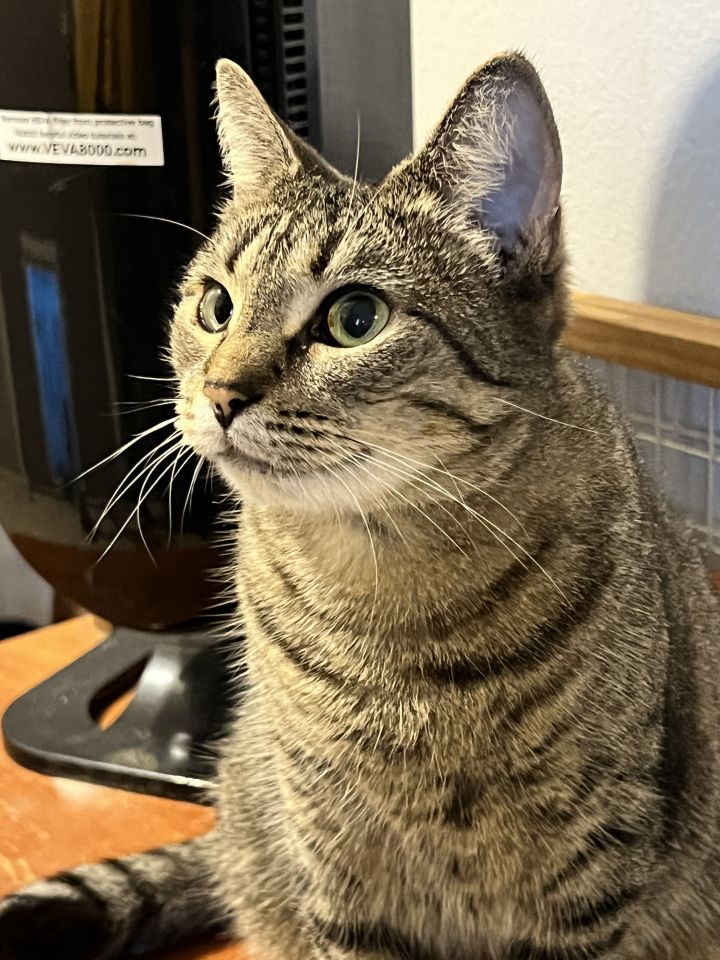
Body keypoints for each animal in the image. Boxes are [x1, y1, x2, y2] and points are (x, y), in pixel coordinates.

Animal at [2, 51, 720, 960]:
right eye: (215, 305)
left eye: (355, 319)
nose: (219, 393)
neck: (382, 589)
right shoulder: (338, 851)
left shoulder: (589, 864)